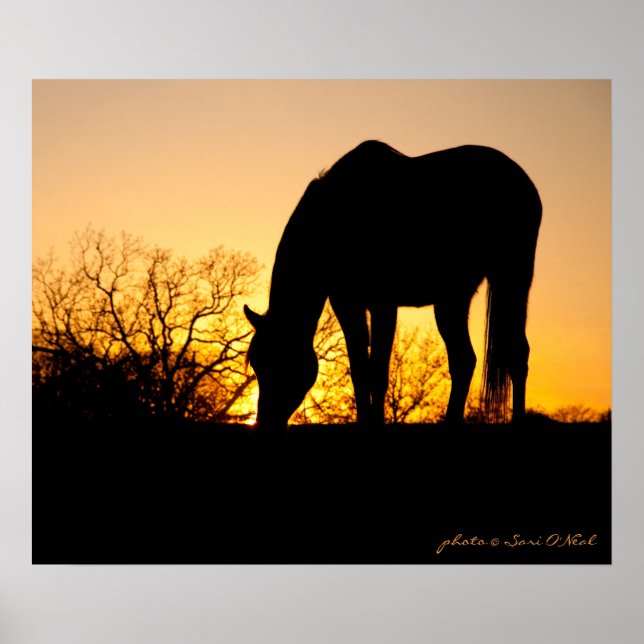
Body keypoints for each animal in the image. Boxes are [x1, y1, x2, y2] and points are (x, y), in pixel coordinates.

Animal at [244, 140, 542, 430]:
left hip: (511, 280)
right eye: (257, 363)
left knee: (517, 353)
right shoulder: (347, 304)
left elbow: (377, 371)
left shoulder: (383, 304)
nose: (265, 423)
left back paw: (517, 423)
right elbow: (359, 369)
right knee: (464, 360)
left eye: (284, 361)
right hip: (453, 299)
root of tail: (524, 183)